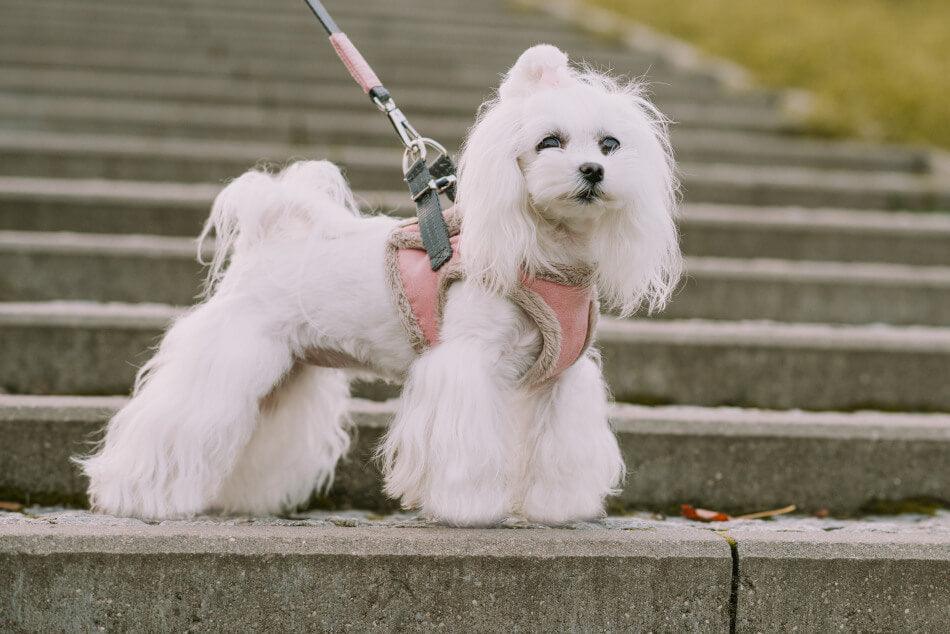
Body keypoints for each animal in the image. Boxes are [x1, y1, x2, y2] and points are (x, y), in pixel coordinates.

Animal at [76, 44, 684, 524]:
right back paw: (132, 495)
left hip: (286, 374)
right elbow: (463, 445)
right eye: (549, 142)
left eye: (610, 145)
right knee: (173, 422)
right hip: (231, 354)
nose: (592, 171)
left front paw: (558, 508)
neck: (548, 256)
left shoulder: (562, 378)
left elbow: (562, 449)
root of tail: (271, 230)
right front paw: (467, 507)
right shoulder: (466, 363)